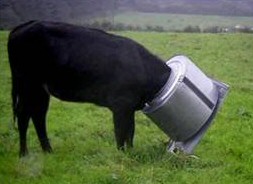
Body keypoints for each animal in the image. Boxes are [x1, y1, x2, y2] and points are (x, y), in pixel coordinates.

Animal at [6, 20, 171, 157]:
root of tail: (24, 26)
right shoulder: (121, 105)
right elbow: (121, 132)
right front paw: (122, 155)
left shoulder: (129, 107)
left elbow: (130, 132)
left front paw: (131, 152)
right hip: (28, 84)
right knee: (24, 116)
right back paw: (24, 154)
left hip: (40, 90)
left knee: (38, 115)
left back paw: (48, 151)